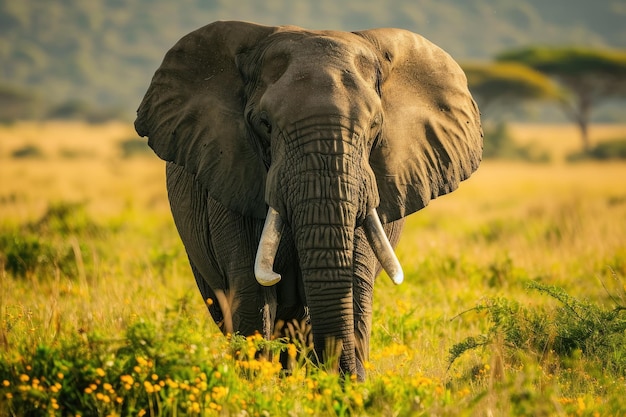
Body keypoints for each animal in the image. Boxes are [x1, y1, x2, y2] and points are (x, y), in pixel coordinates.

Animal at [134, 19, 480, 378]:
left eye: (375, 125)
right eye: (265, 124)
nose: (344, 377)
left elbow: (354, 281)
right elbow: (252, 289)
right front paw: (256, 384)